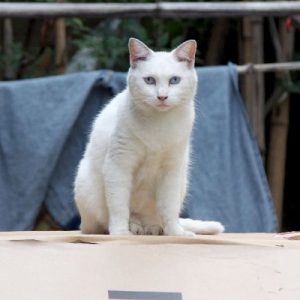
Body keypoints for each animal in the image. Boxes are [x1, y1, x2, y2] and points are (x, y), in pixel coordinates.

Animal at [74, 37, 224, 236]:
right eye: (150, 80)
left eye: (174, 80)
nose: (162, 97)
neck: (159, 123)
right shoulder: (119, 165)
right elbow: (118, 206)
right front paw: (120, 233)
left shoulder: (171, 170)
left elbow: (169, 209)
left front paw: (176, 233)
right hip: (86, 186)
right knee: (106, 221)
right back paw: (134, 228)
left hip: (182, 180)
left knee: (156, 218)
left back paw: (151, 229)